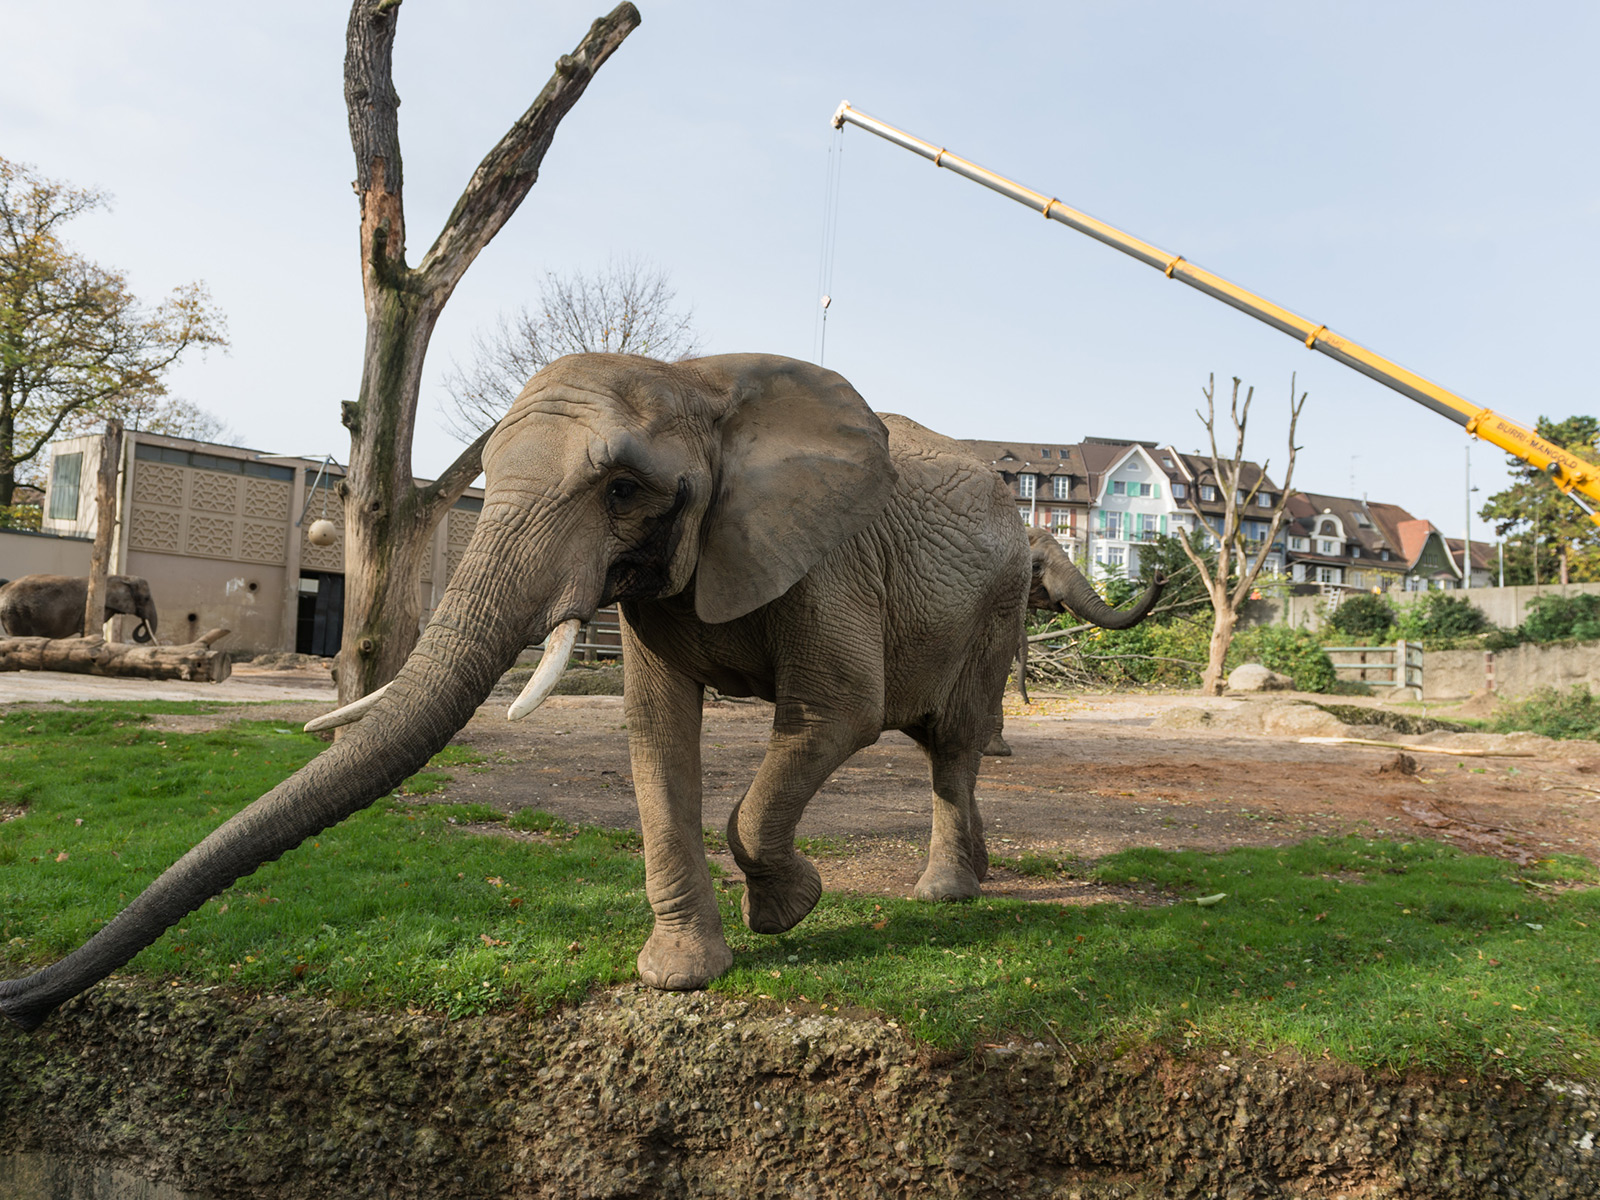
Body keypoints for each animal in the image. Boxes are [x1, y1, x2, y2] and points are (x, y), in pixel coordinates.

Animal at [0, 350, 1030, 1036]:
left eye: (623, 489)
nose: (15, 1000)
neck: (702, 378)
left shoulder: (829, 562)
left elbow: (837, 712)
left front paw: (788, 910)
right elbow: (655, 733)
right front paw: (682, 978)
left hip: (1000, 603)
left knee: (952, 743)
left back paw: (944, 893)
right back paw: (971, 881)